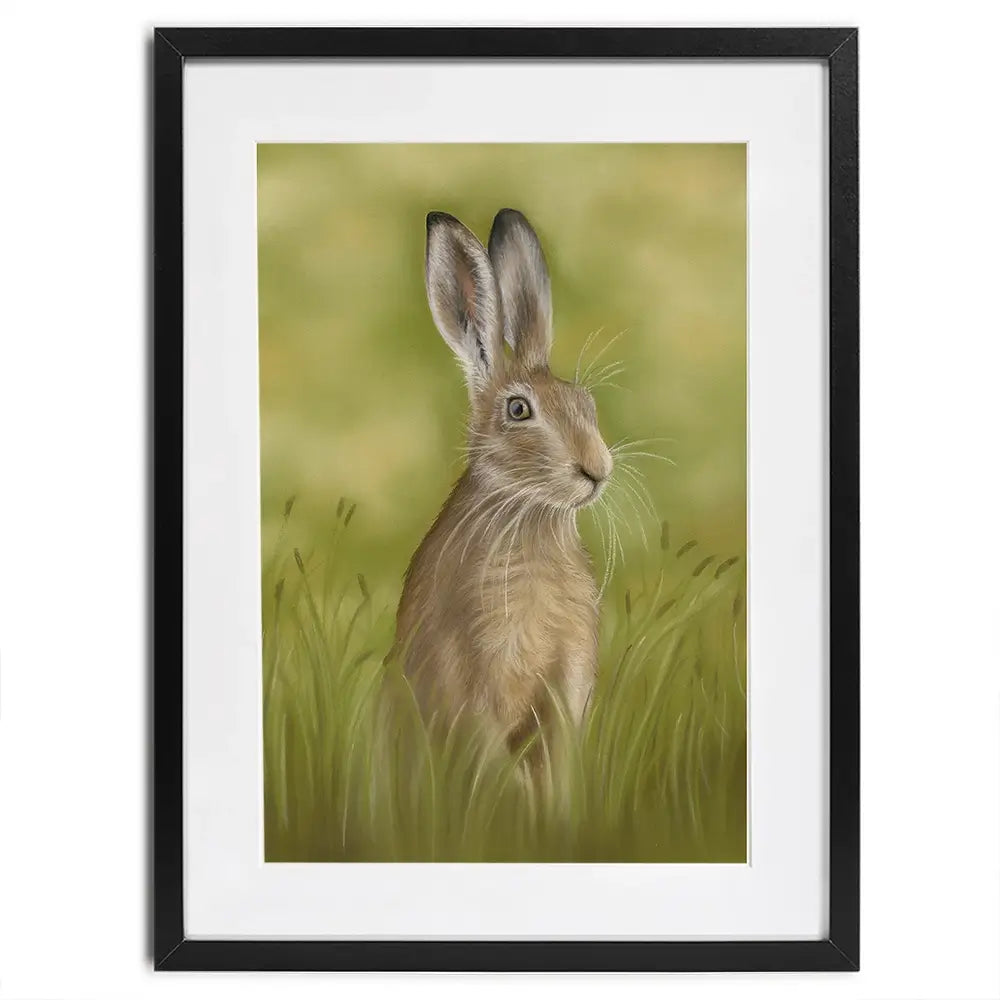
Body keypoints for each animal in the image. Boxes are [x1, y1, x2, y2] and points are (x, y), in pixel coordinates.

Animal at [394, 209, 613, 760]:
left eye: (585, 403)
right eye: (518, 410)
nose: (597, 469)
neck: (531, 516)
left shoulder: (567, 686)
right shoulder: (476, 685)